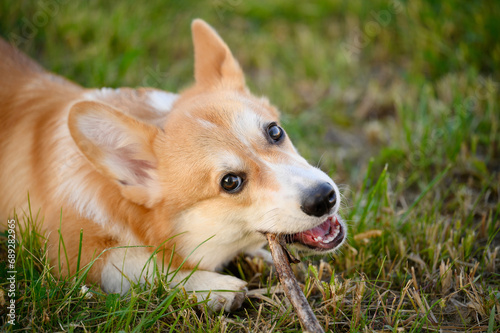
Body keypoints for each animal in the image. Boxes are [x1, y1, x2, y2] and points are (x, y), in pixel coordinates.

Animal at [0, 19, 346, 312]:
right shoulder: (67, 255)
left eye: (275, 132)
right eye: (230, 182)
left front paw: (260, 257)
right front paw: (212, 286)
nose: (324, 197)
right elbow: (141, 266)